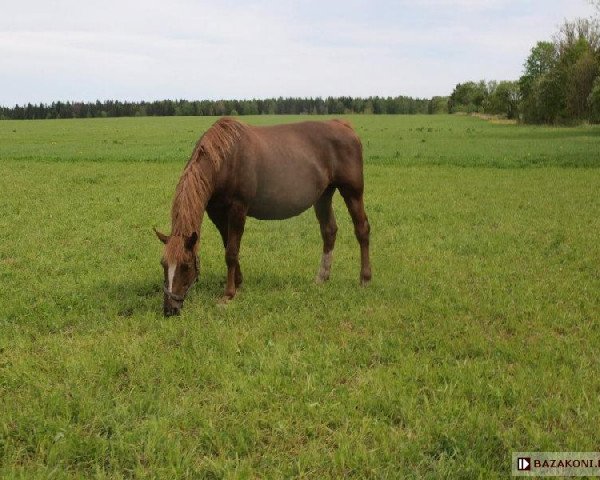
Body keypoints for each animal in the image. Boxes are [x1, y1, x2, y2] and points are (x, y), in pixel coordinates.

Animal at [155, 117, 370, 316]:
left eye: (185, 266)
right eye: (163, 264)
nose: (170, 309)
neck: (226, 160)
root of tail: (343, 125)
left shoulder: (238, 209)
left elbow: (231, 252)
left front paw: (228, 294)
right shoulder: (217, 214)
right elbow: (228, 247)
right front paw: (238, 282)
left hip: (352, 192)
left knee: (362, 230)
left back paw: (365, 279)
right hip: (324, 195)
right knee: (329, 231)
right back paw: (321, 278)